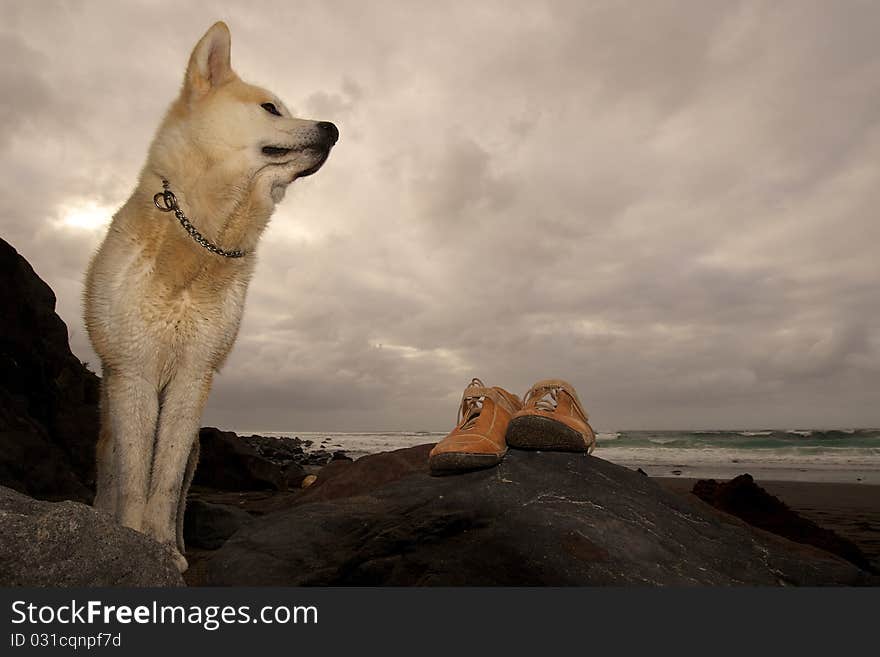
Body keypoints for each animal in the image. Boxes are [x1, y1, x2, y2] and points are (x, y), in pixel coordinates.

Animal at [83, 21, 336, 568]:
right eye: (270, 108)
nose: (333, 128)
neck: (202, 240)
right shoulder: (133, 372)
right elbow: (134, 480)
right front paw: (132, 539)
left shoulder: (193, 376)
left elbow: (164, 481)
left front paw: (163, 548)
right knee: (110, 475)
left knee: (180, 491)